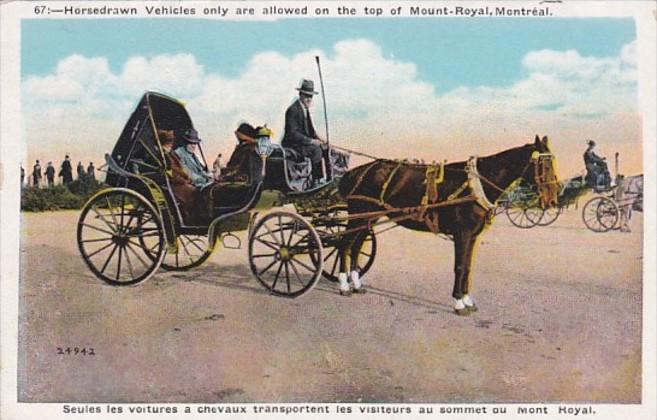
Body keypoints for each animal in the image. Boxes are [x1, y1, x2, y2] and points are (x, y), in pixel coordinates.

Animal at [336, 136, 556, 314]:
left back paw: (356, 284)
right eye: (544, 164)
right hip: (358, 215)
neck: (476, 185)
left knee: (356, 246)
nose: (552, 200)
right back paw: (344, 285)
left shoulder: (473, 236)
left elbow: (467, 267)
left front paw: (467, 300)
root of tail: (355, 172)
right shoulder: (462, 234)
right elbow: (459, 266)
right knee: (344, 244)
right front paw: (459, 303)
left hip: (368, 218)